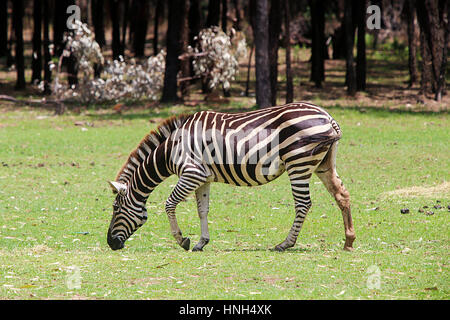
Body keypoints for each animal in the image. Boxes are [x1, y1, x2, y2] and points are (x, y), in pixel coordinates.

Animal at [107, 102, 356, 252]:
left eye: (116, 209)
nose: (110, 243)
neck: (171, 149)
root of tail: (328, 117)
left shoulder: (192, 173)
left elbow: (169, 204)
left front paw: (182, 240)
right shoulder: (203, 178)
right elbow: (202, 210)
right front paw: (201, 242)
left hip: (298, 163)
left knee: (303, 203)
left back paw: (285, 243)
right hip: (323, 165)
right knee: (342, 195)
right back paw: (349, 241)